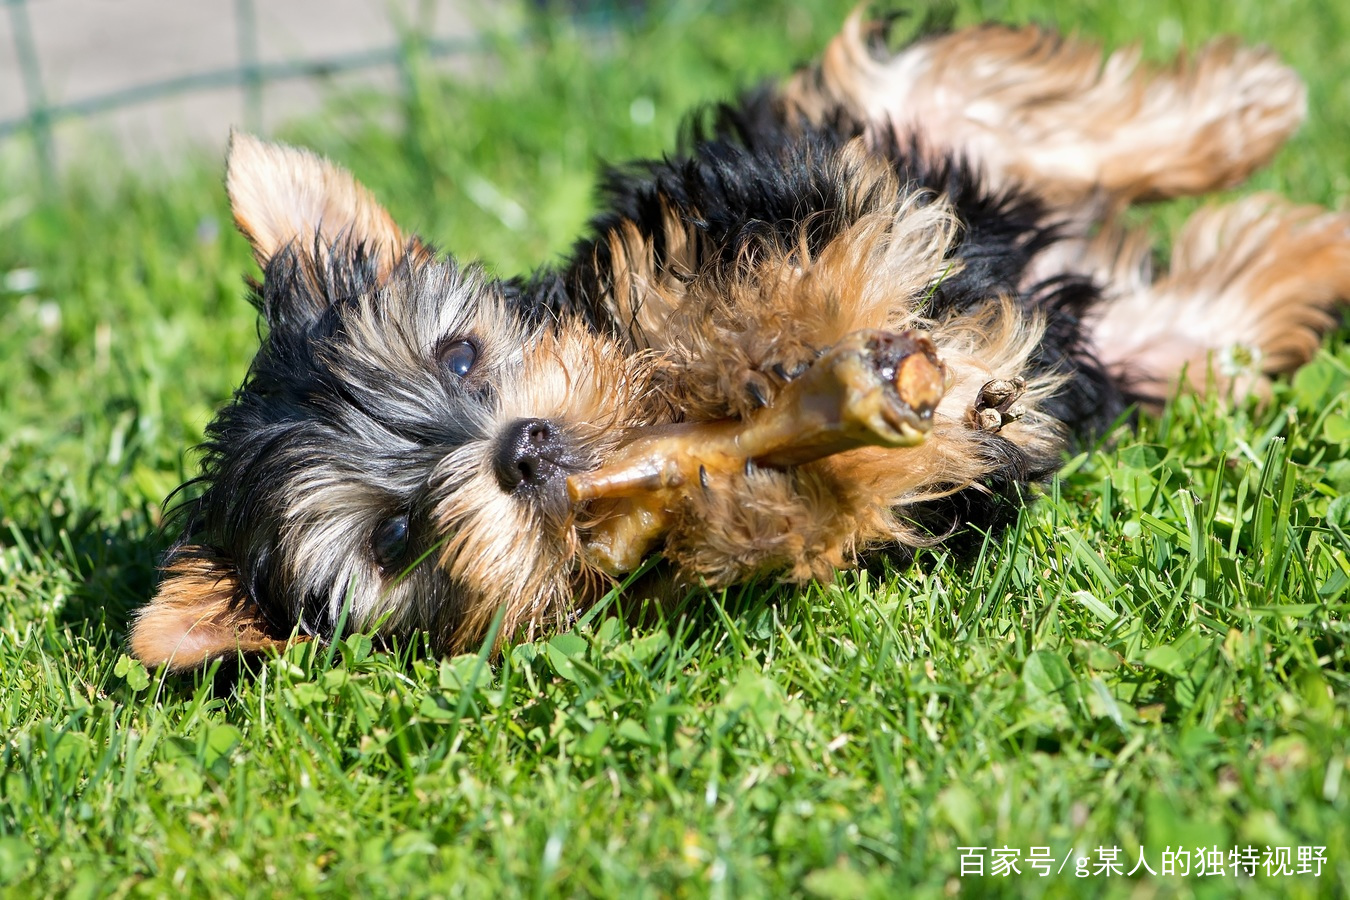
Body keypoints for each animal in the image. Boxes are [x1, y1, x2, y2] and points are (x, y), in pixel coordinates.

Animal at [128, 10, 1350, 671]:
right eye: (395, 538)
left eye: (460, 356)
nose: (522, 449)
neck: (648, 418)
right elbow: (838, 510)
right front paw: (755, 491)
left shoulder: (719, 205)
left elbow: (733, 278)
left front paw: (758, 344)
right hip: (1137, 345)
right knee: (1209, 314)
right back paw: (1309, 246)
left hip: (874, 121)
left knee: (1003, 105)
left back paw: (1247, 106)